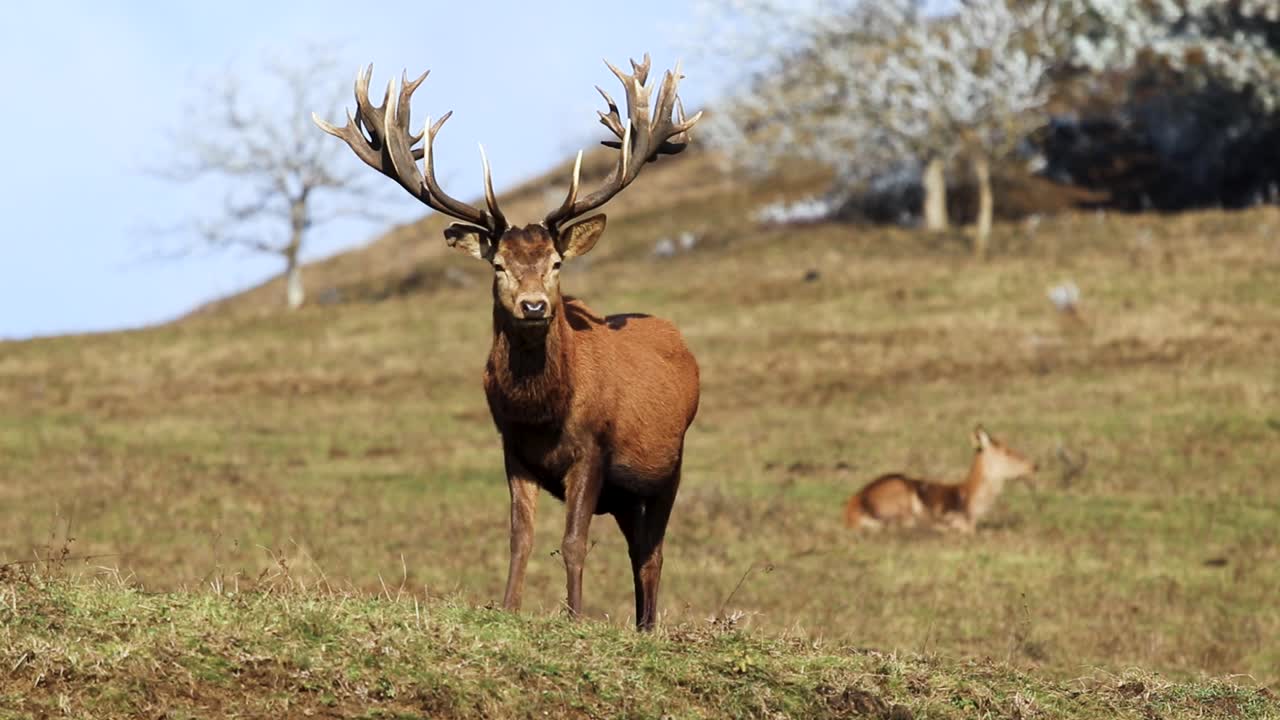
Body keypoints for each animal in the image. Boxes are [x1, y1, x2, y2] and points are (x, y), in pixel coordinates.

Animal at [314, 55, 702, 630]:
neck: (542, 410)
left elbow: (573, 541)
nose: (535, 306)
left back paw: (649, 628)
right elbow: (520, 538)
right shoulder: (512, 448)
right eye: (498, 265)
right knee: (639, 552)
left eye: (557, 263)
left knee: (652, 555)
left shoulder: (593, 447)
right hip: (627, 496)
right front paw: (510, 609)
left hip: (666, 468)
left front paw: (574, 616)